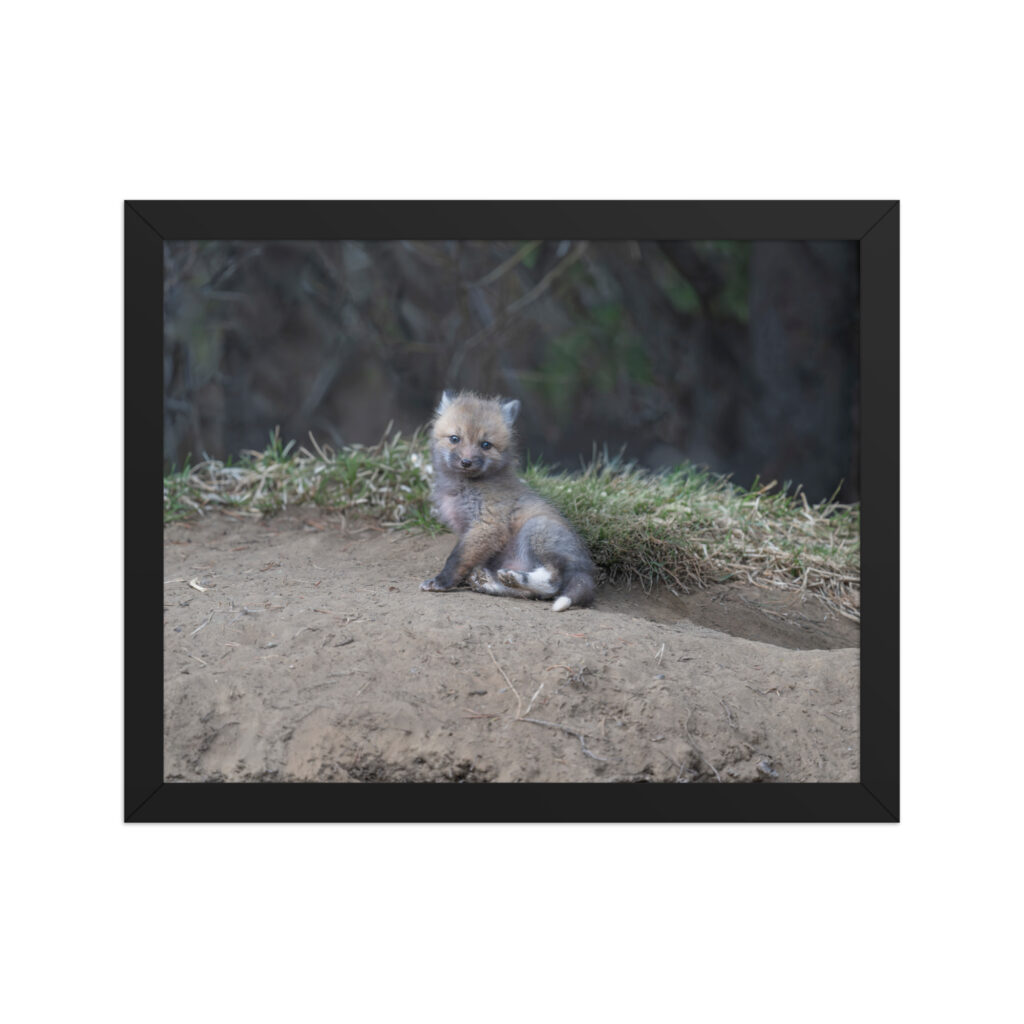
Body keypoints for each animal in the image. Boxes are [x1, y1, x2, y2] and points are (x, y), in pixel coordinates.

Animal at [420, 391, 597, 612]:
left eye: (486, 445)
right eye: (454, 438)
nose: (466, 462)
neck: (464, 487)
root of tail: (587, 570)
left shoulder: (488, 525)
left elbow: (457, 558)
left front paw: (442, 581)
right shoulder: (467, 529)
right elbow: (467, 558)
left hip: (536, 529)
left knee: (553, 583)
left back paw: (515, 578)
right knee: (532, 594)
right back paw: (492, 583)